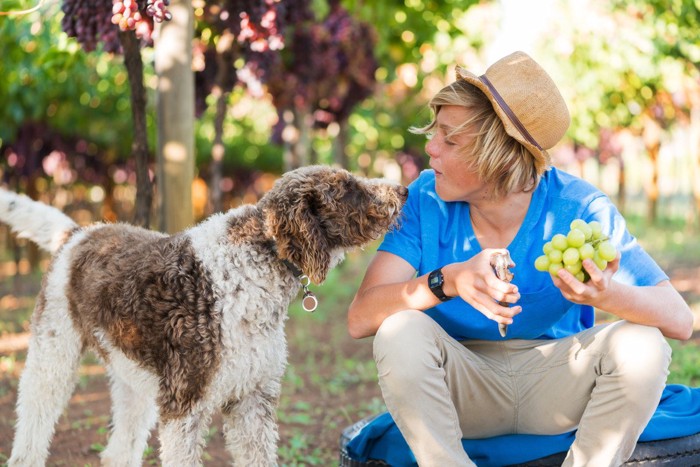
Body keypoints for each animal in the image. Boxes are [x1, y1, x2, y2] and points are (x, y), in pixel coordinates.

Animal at [1, 167, 404, 467]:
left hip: (133, 378)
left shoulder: (252, 400)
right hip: (53, 359)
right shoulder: (184, 405)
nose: (402, 189)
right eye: (347, 188)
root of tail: (79, 234)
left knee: (119, 449)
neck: (259, 260)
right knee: (31, 432)